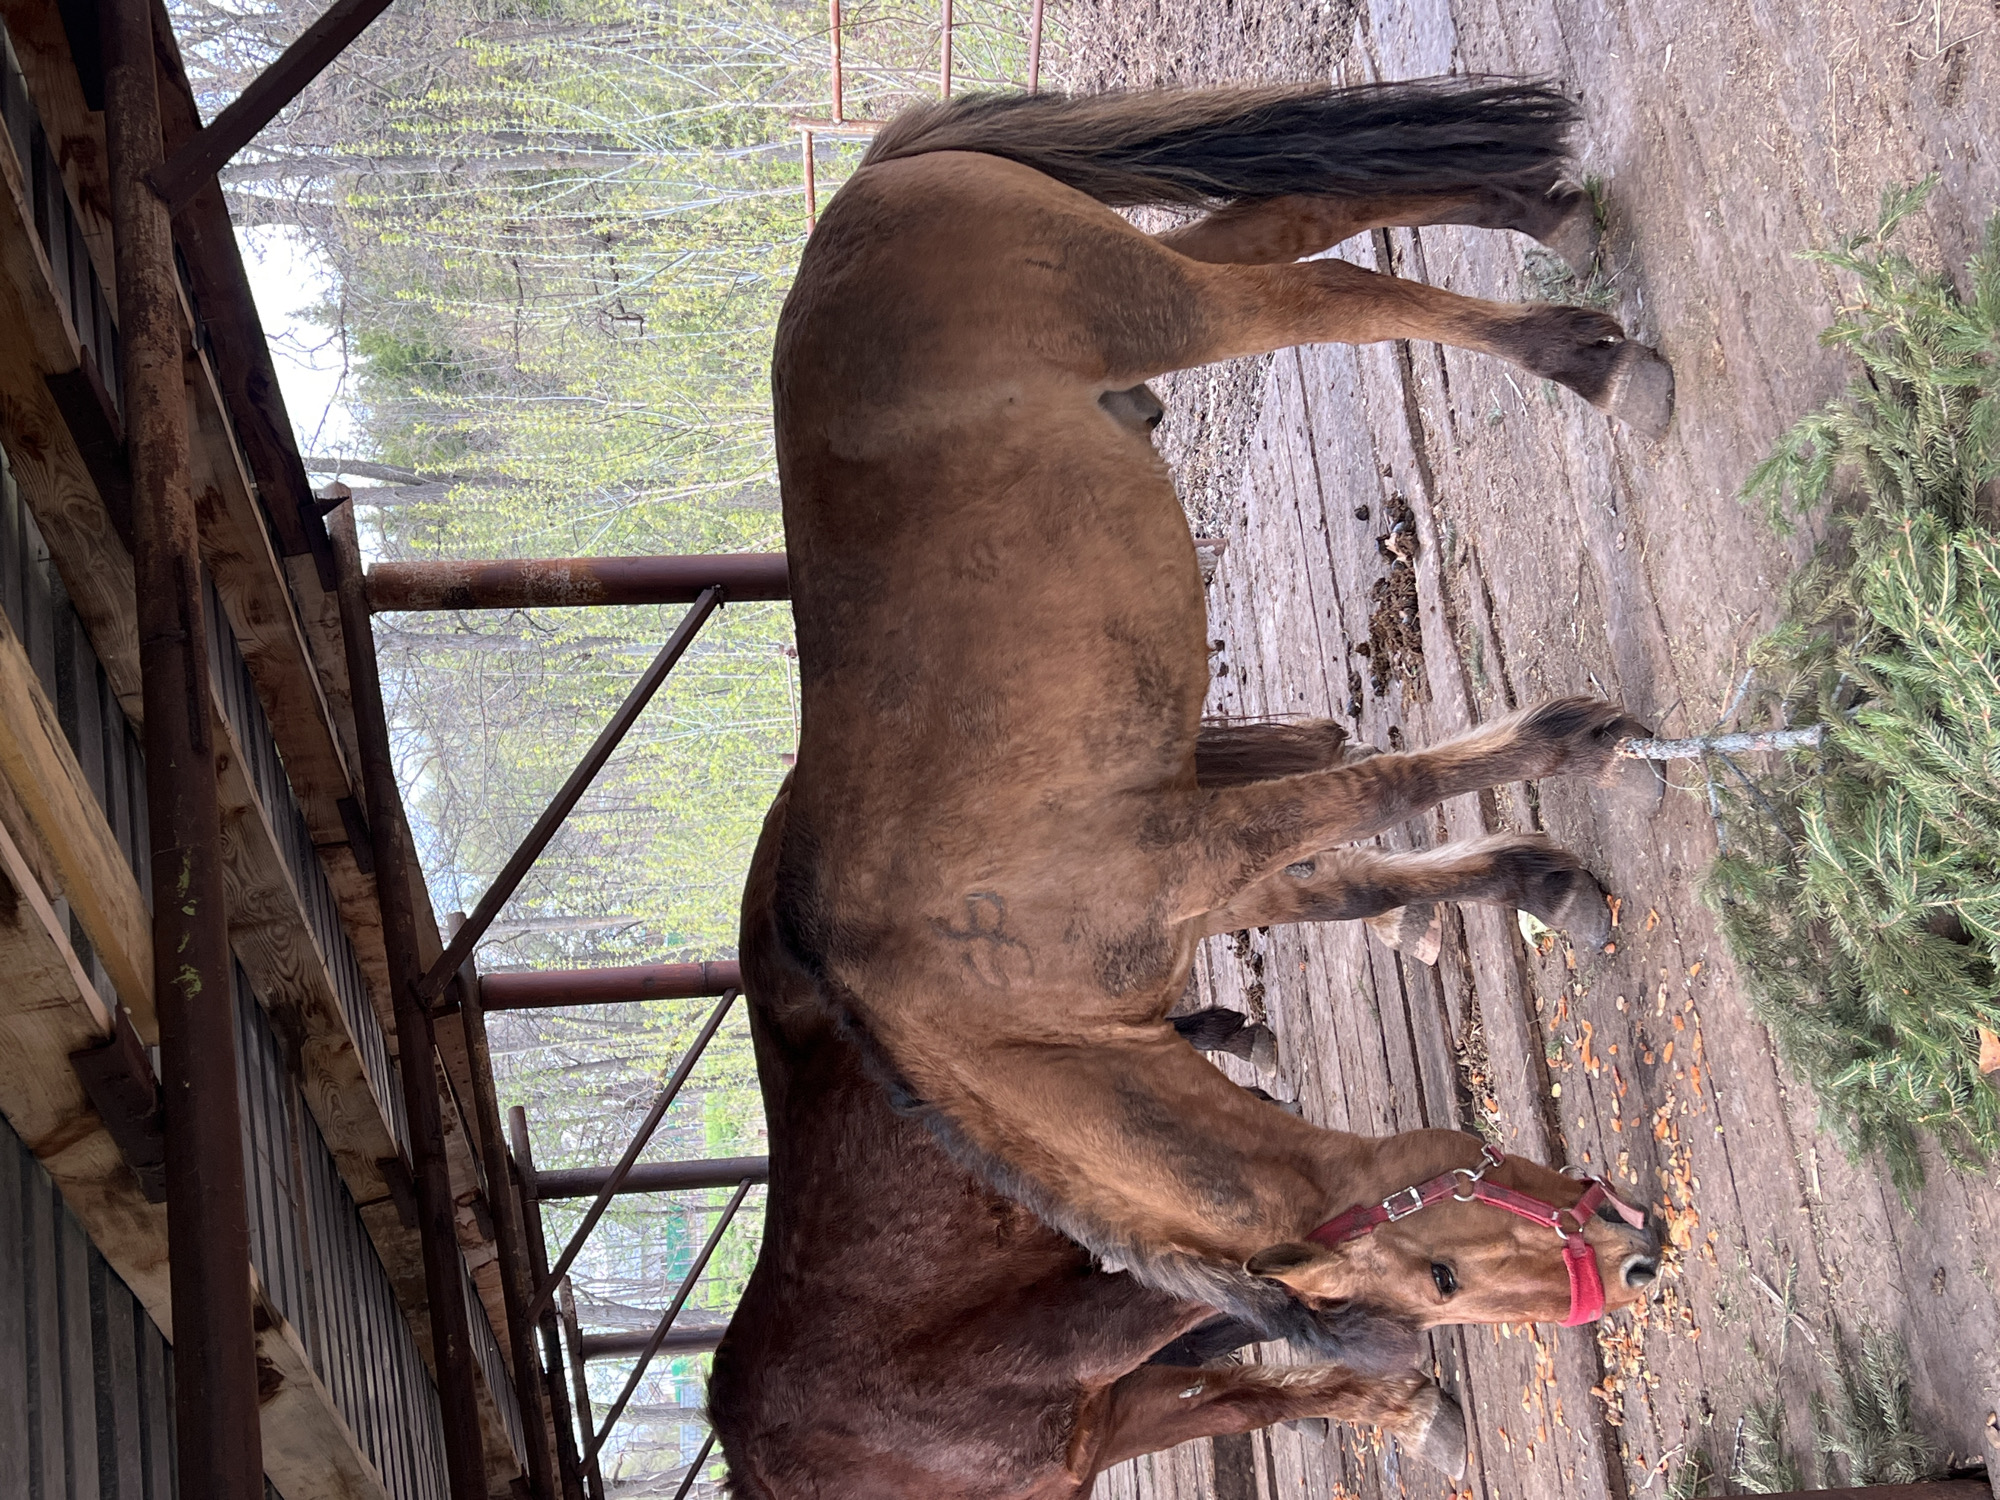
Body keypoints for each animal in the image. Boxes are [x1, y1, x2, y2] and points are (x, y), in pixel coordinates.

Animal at [766, 76, 1666, 1352]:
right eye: (1439, 1282)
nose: (1632, 1261)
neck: (988, 1014)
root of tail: (866, 188)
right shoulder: (1207, 883)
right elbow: (1350, 884)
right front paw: (1537, 877)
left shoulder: (1203, 843)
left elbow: (1380, 788)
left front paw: (1583, 747)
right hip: (1166, 278)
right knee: (1305, 214)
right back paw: (1537, 213)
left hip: (1165, 310)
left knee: (1331, 292)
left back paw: (1583, 361)